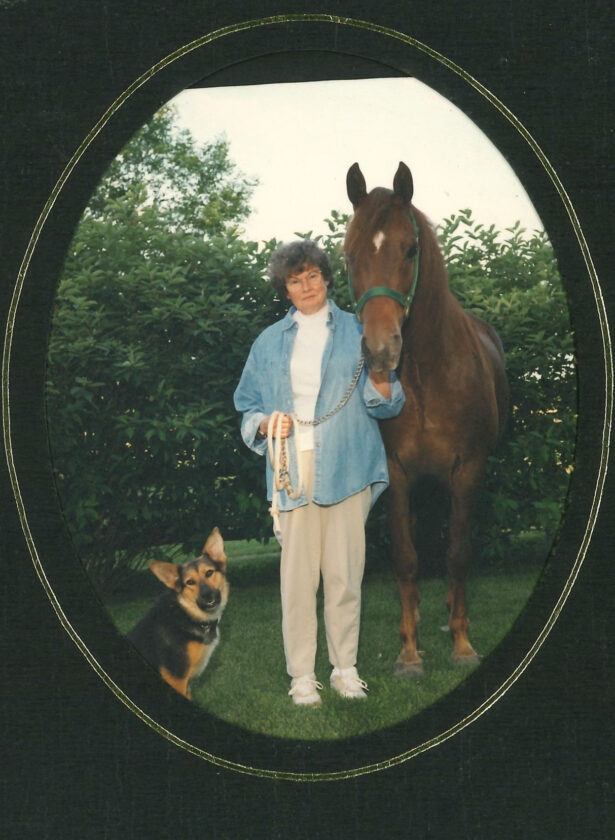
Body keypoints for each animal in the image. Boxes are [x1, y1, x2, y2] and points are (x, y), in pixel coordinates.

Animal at [127, 527, 229, 699]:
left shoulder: (186, 685)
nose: (208, 597)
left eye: (209, 573)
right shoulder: (177, 680)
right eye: (190, 582)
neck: (185, 613)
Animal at [344, 162, 509, 676]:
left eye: (411, 249)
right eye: (349, 255)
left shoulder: (468, 471)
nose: (381, 350)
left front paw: (462, 644)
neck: (425, 376)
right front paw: (409, 653)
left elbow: (457, 555)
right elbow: (406, 557)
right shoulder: (398, 474)